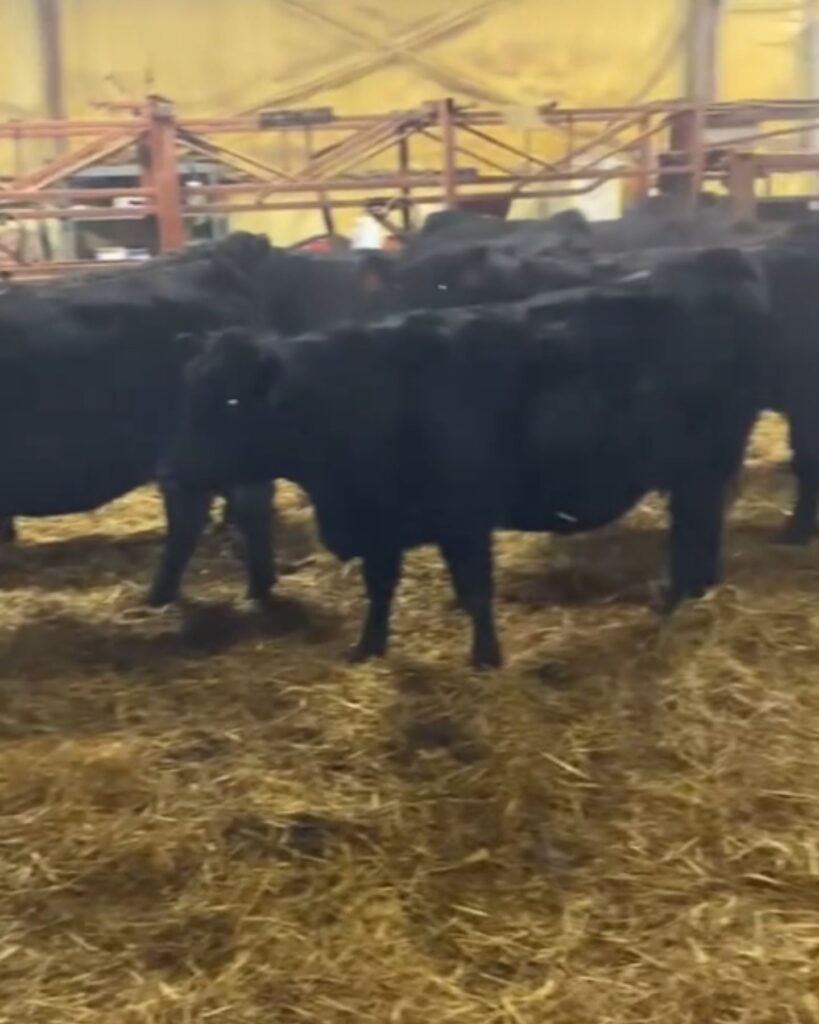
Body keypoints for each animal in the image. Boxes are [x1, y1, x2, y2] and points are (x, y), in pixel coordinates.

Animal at [169, 248, 769, 667]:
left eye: (230, 401)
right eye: (187, 393)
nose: (173, 470)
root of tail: (718, 262)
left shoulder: (465, 516)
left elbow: (475, 589)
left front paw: (485, 658)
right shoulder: (381, 527)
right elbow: (379, 589)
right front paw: (368, 648)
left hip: (702, 466)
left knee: (696, 530)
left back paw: (678, 599)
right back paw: (686, 593)